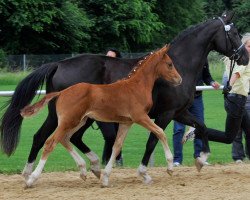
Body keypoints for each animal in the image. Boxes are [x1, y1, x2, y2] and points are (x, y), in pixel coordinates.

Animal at [20, 45, 182, 188]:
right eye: (170, 64)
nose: (179, 79)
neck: (136, 86)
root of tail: (62, 92)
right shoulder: (140, 117)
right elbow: (160, 132)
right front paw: (170, 167)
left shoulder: (126, 122)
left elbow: (116, 146)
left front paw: (105, 179)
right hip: (69, 121)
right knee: (50, 142)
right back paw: (31, 179)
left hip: (79, 121)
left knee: (65, 139)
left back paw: (84, 170)